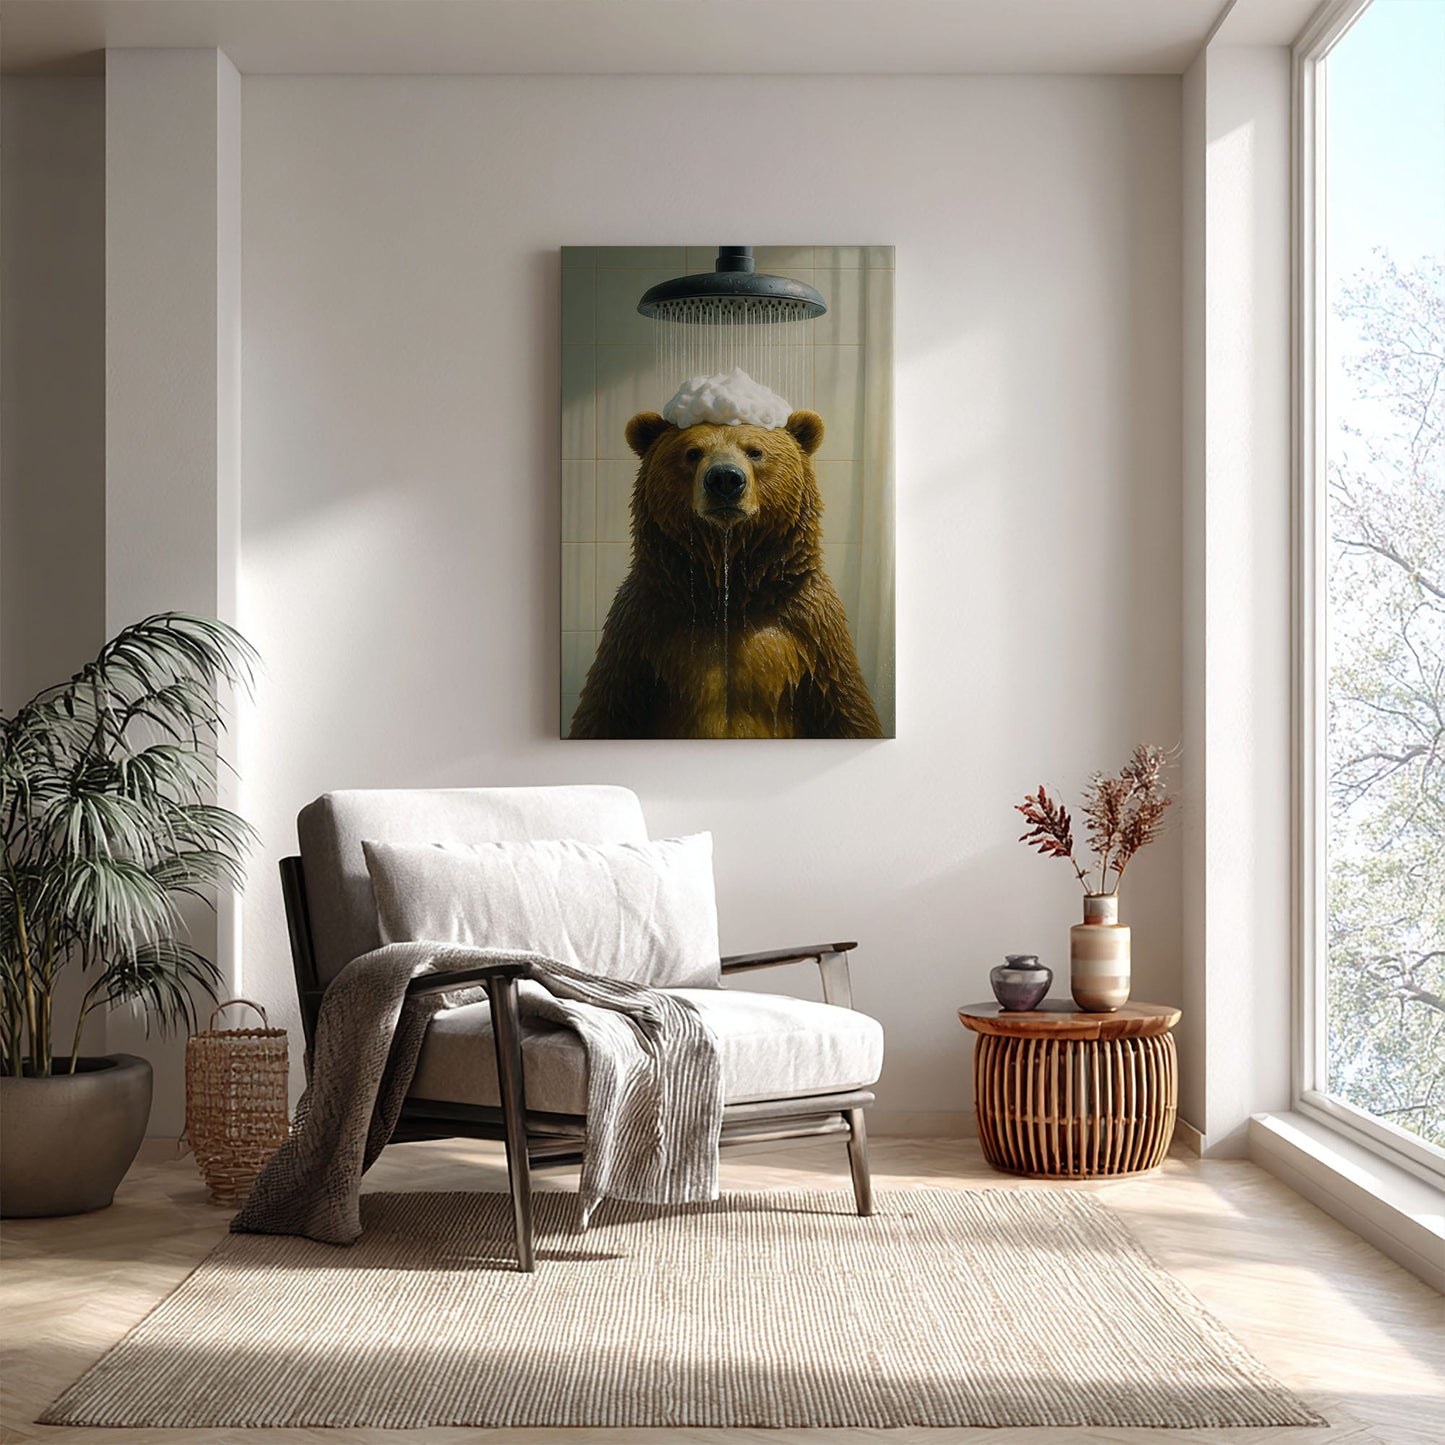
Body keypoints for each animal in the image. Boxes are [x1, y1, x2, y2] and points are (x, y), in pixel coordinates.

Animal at [569, 399, 883, 740]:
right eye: (692, 452)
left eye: (755, 451)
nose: (725, 479)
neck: (727, 594)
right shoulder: (639, 630)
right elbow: (605, 710)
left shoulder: (814, 631)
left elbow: (848, 710)